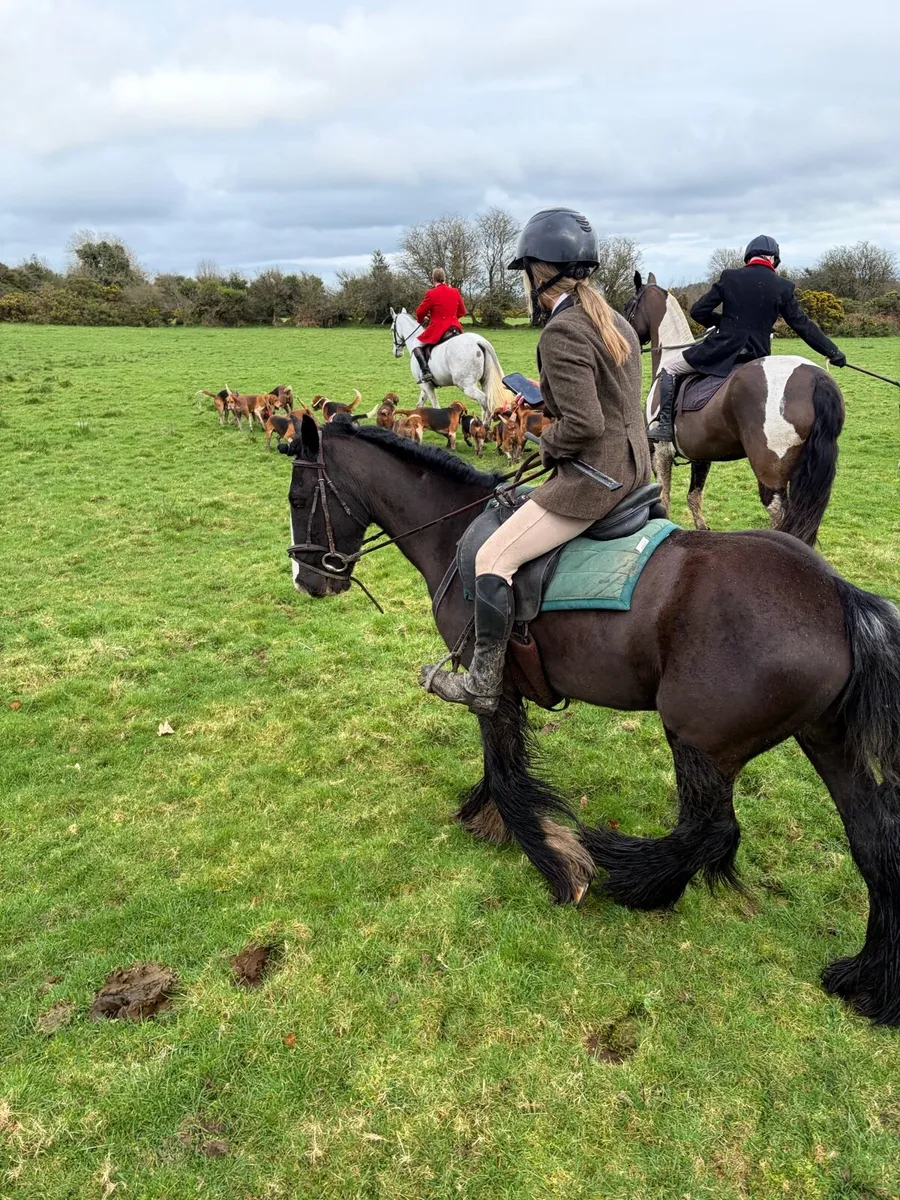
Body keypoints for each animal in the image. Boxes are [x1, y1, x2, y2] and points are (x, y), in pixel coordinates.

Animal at [284, 414, 900, 1025]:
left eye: (297, 496)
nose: (306, 580)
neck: (453, 534)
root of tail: (837, 596)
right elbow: (501, 764)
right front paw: (487, 818)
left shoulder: (491, 689)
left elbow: (504, 771)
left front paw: (554, 860)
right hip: (825, 741)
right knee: (873, 844)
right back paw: (869, 984)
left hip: (699, 739)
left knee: (712, 831)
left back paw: (632, 877)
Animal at [624, 273, 845, 545]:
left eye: (629, 305)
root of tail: (815, 377)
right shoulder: (700, 454)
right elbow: (693, 497)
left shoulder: (660, 451)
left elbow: (664, 498)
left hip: (770, 474)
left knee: (780, 515)